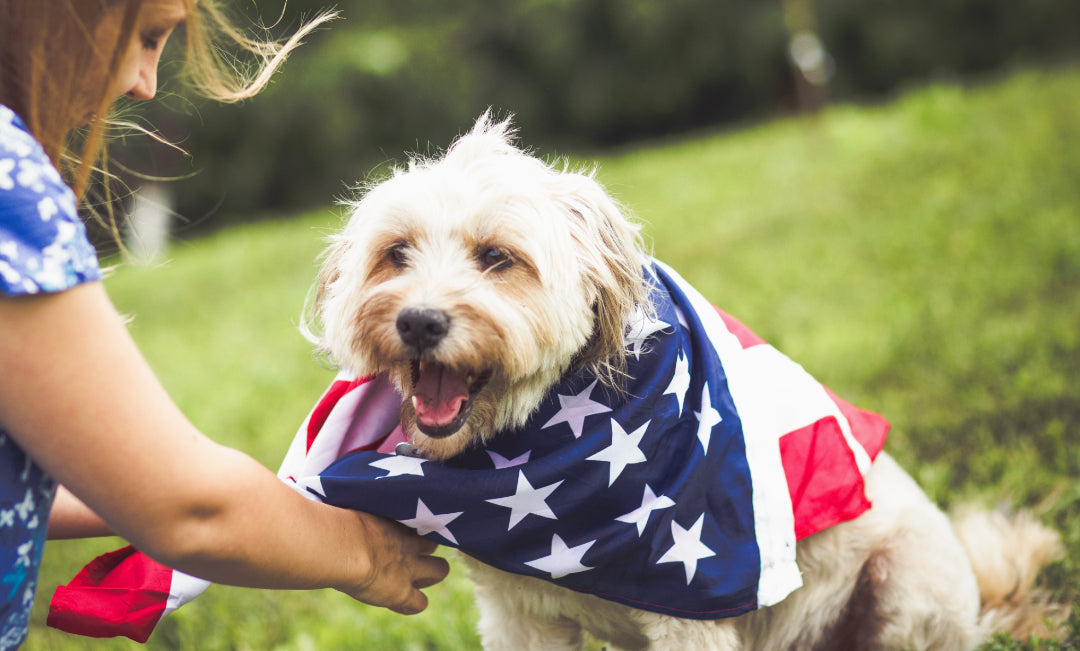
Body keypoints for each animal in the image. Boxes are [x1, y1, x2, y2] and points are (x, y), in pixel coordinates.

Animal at [304, 114, 1062, 647]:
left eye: (497, 257)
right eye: (395, 253)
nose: (418, 322)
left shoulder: (694, 600)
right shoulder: (520, 616)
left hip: (905, 584)